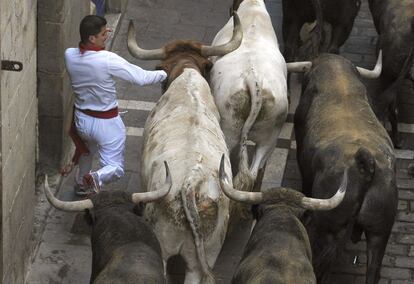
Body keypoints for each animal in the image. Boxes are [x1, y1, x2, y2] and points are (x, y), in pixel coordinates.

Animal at [294, 53, 398, 284]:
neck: (337, 76)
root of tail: (365, 164)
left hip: (331, 232)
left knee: (323, 266)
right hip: (380, 232)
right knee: (373, 269)